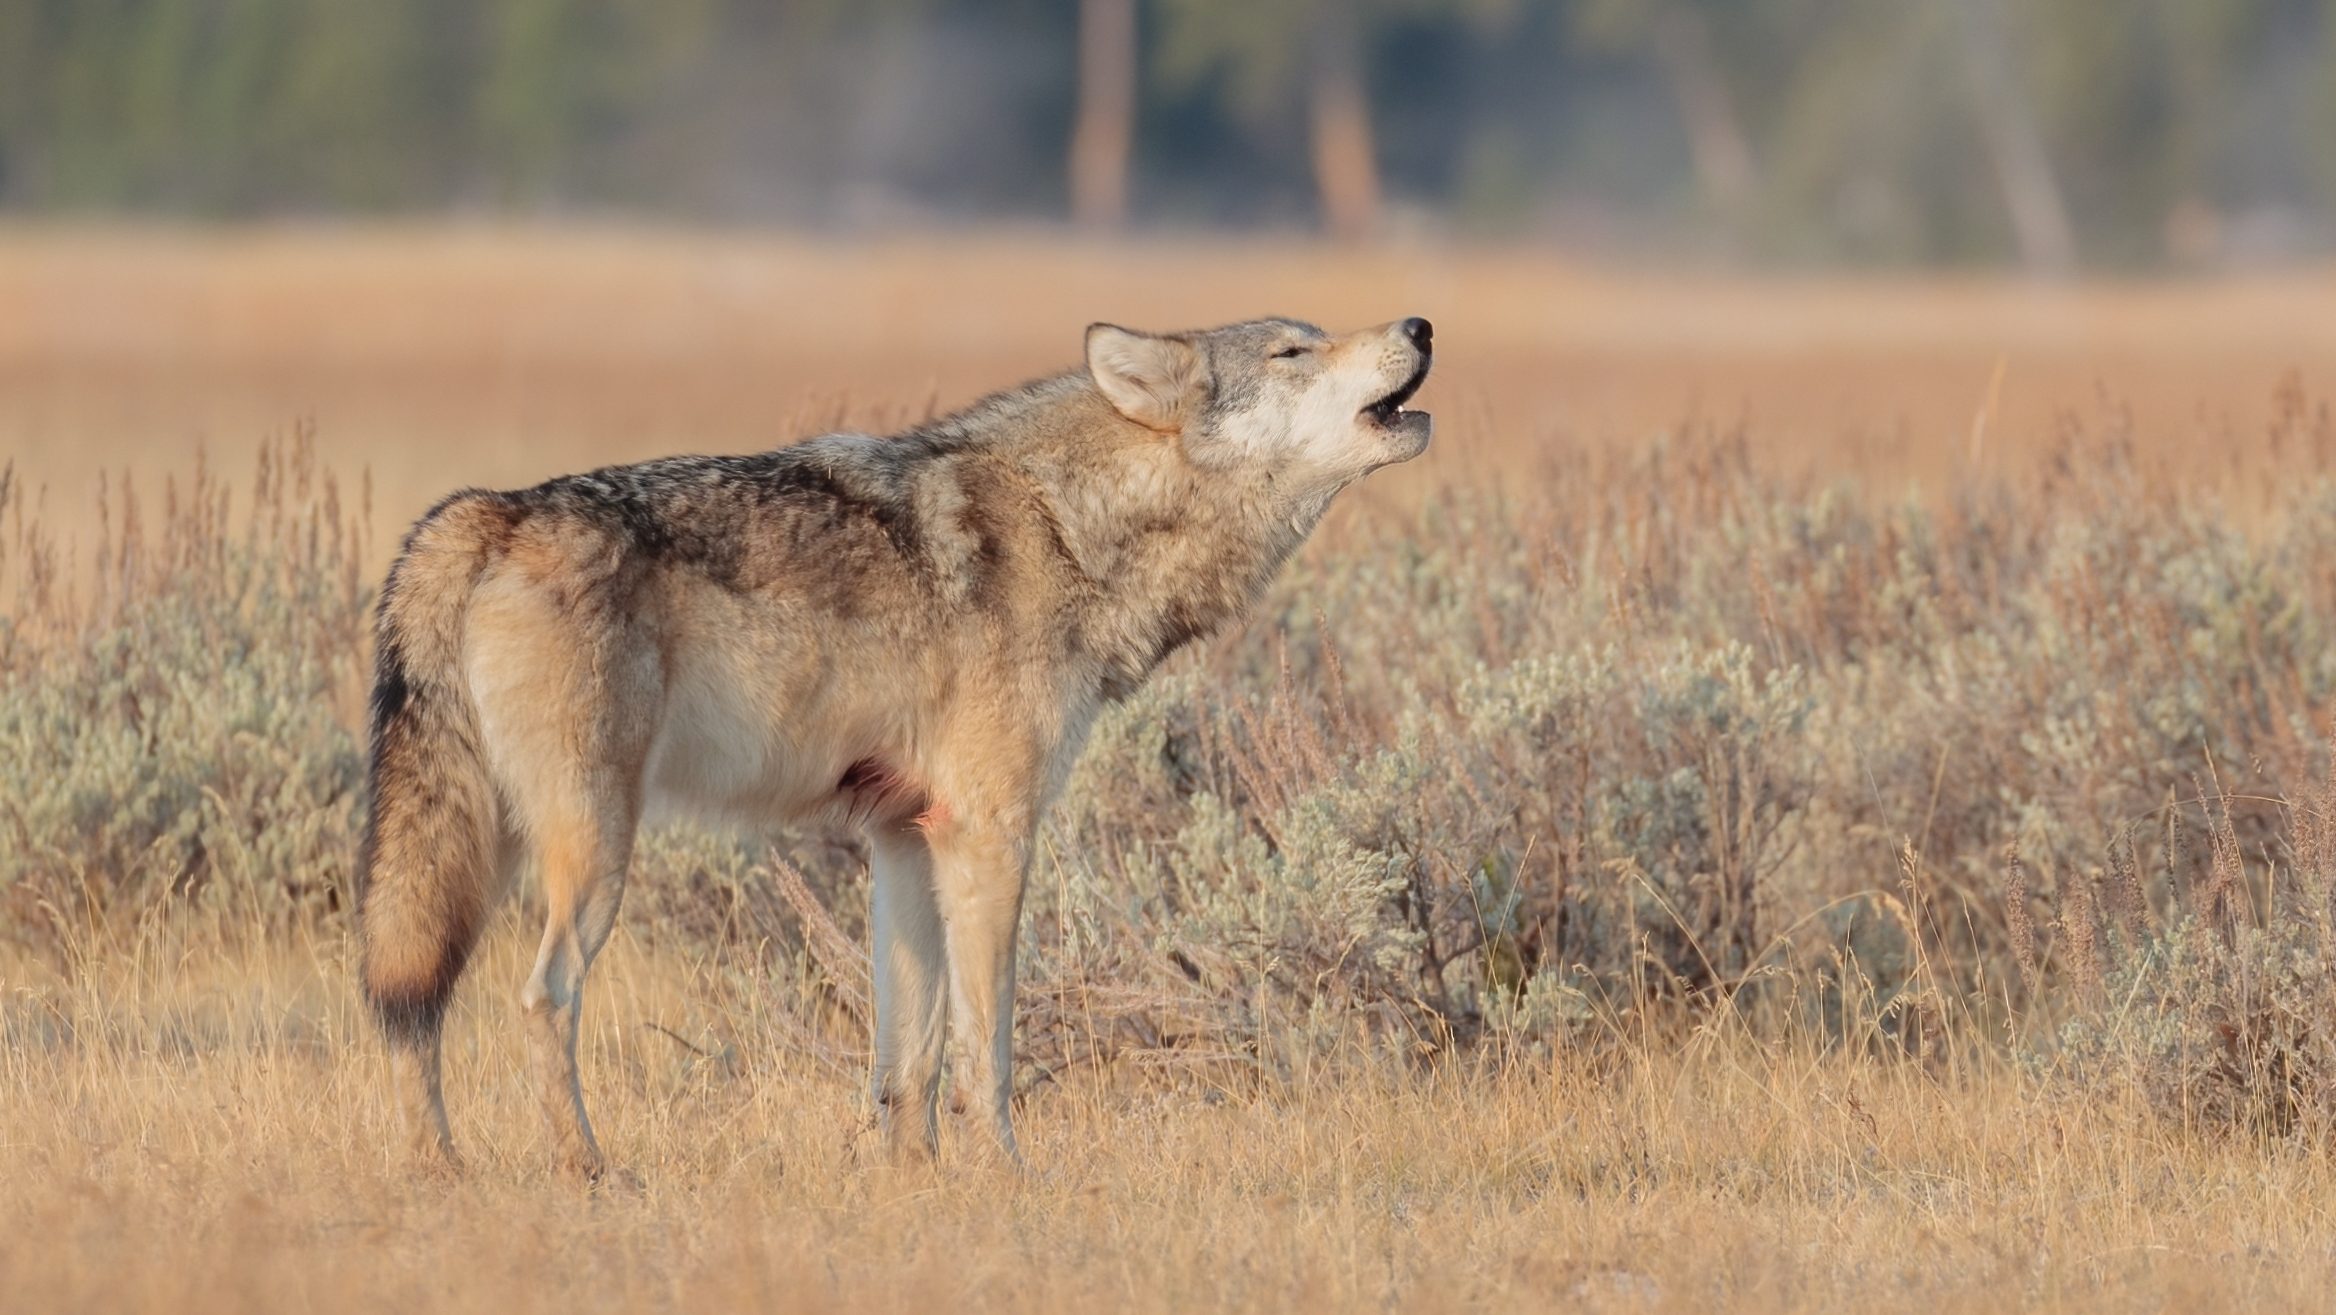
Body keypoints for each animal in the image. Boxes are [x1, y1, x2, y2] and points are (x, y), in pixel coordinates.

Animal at [355, 312, 1429, 1177]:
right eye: (1292, 351)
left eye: (1315, 336)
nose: (1419, 324)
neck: (1066, 522)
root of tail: (484, 511)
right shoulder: (988, 833)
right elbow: (986, 1047)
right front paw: (1008, 1177)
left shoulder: (905, 836)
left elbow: (906, 1056)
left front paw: (914, 1179)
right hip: (590, 855)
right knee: (542, 998)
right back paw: (589, 1169)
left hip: (476, 860)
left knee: (415, 1008)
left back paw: (438, 1169)